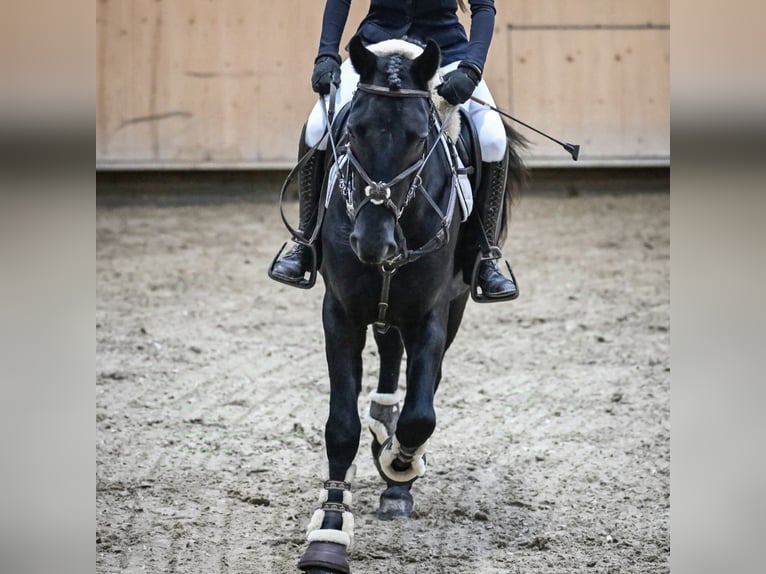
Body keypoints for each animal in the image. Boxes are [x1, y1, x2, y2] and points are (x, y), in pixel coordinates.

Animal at [294, 38, 528, 572]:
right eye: (354, 131)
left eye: (420, 139)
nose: (370, 242)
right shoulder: (340, 313)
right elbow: (341, 426)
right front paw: (329, 533)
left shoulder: (430, 315)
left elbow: (422, 415)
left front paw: (399, 464)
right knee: (388, 353)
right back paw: (383, 422)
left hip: (451, 306)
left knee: (425, 380)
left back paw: (396, 469)